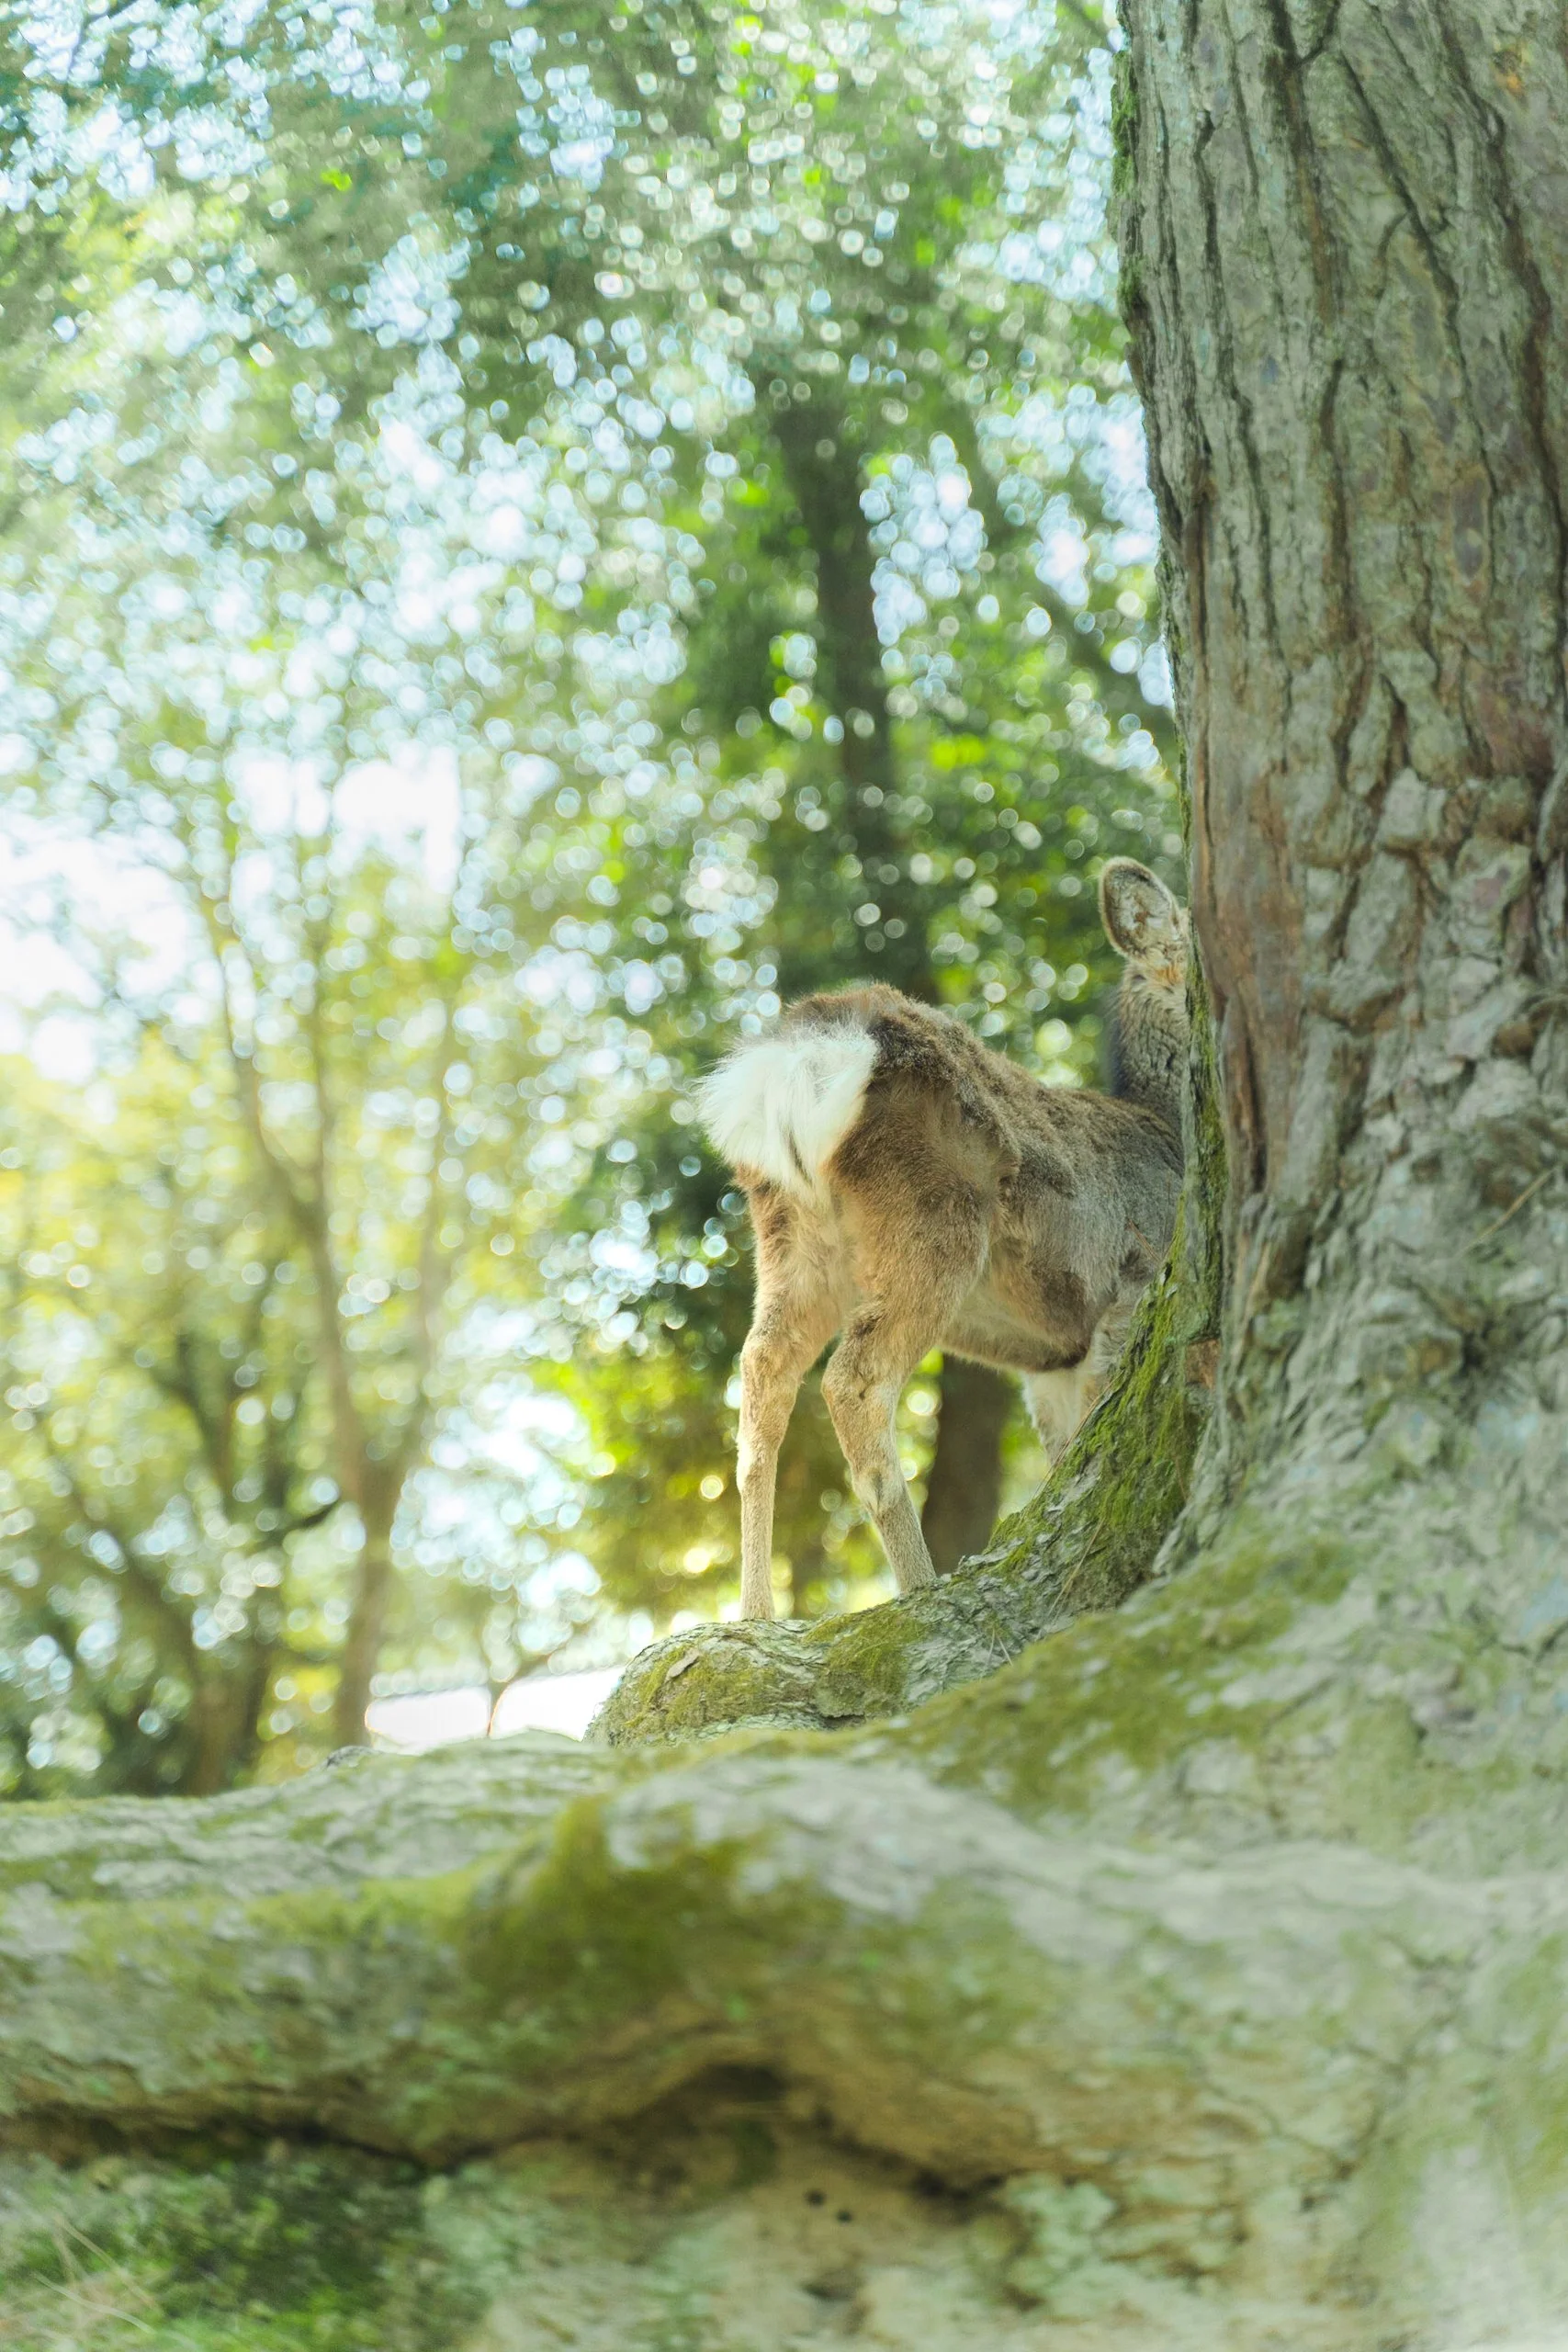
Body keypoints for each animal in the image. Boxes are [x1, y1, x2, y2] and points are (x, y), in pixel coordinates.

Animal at [697, 859, 1190, 1620]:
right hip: (932, 1212)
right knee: (854, 1382)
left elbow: (1064, 1450)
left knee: (760, 1376)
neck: (1172, 1135)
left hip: (791, 1233)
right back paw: (916, 1588)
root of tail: (800, 1056)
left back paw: (754, 1616)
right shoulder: (1133, 1286)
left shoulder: (1050, 1358)